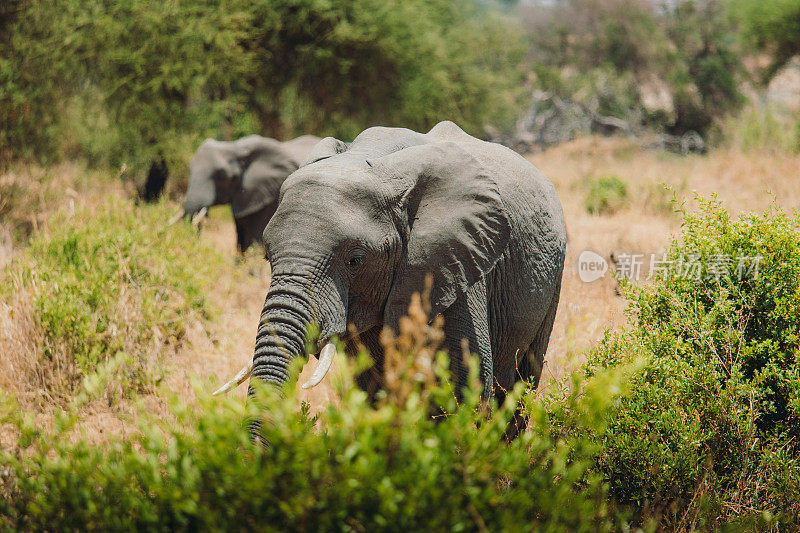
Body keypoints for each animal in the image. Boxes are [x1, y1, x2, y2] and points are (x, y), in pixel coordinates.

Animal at [180, 136, 320, 255]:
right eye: (189, 169)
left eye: (222, 175)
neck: (236, 147)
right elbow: (240, 237)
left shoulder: (268, 195)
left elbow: (255, 239)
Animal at [217, 119, 568, 424]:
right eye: (267, 256)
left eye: (355, 260)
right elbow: (374, 390)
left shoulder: (457, 263)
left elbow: (464, 385)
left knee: (522, 383)